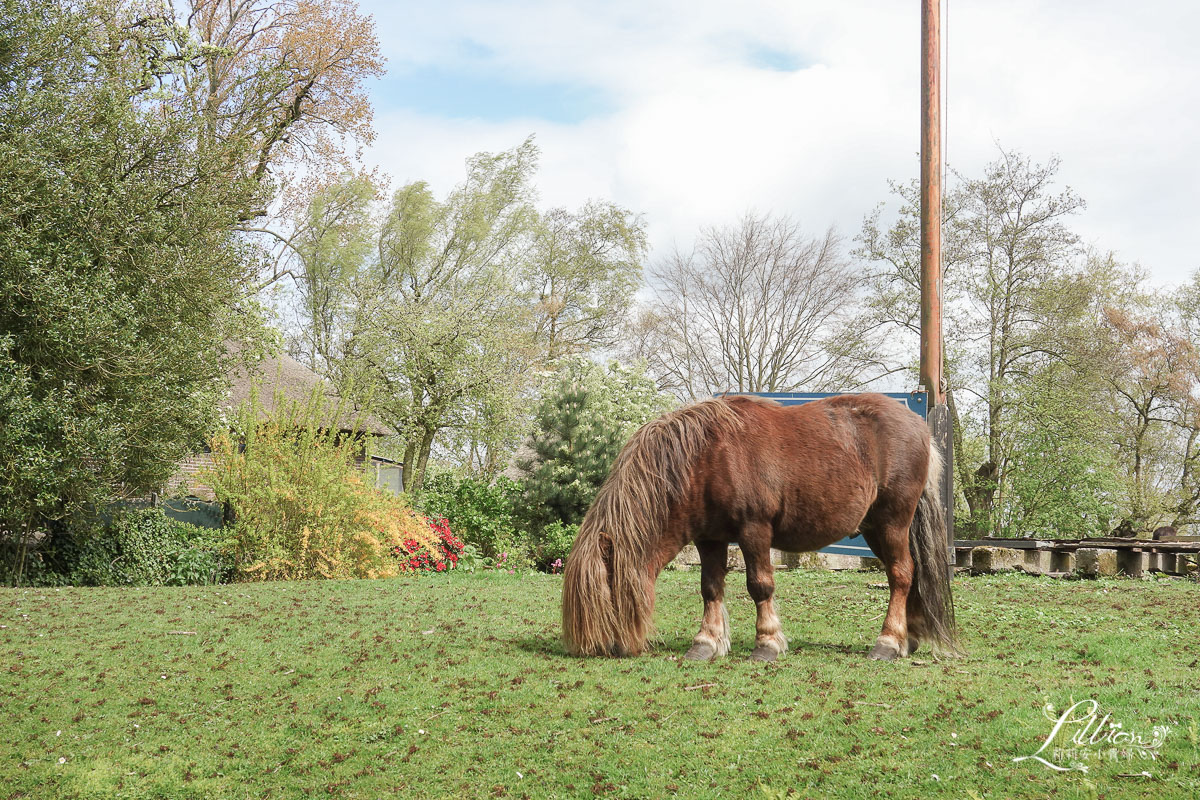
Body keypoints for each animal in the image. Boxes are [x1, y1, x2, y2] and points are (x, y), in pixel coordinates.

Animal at [559, 393, 955, 662]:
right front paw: (705, 643)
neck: (703, 459)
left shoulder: (754, 531)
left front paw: (767, 644)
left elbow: (760, 585)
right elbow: (710, 588)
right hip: (874, 528)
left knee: (901, 575)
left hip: (892, 522)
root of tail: (920, 428)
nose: (609, 647)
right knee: (908, 574)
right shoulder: (710, 538)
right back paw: (909, 638)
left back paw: (887, 642)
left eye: (607, 590)